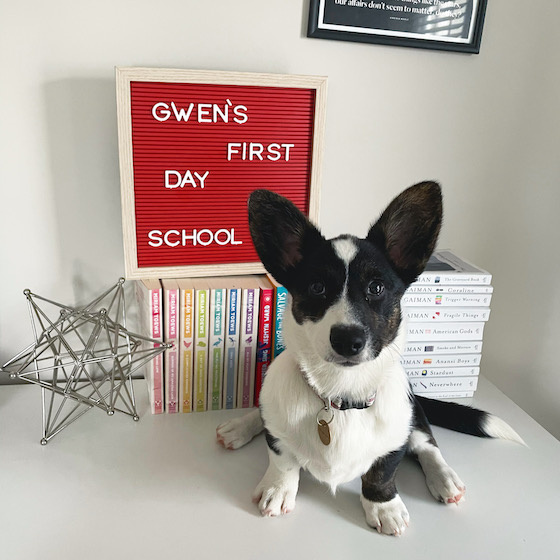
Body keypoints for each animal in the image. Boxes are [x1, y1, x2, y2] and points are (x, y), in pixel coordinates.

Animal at [217, 183, 524, 532]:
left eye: (376, 288)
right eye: (317, 287)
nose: (347, 340)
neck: (341, 391)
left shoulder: (394, 439)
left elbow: (383, 472)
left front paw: (384, 507)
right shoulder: (279, 437)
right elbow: (283, 460)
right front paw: (278, 490)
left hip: (413, 412)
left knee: (426, 443)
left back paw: (444, 479)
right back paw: (239, 427)